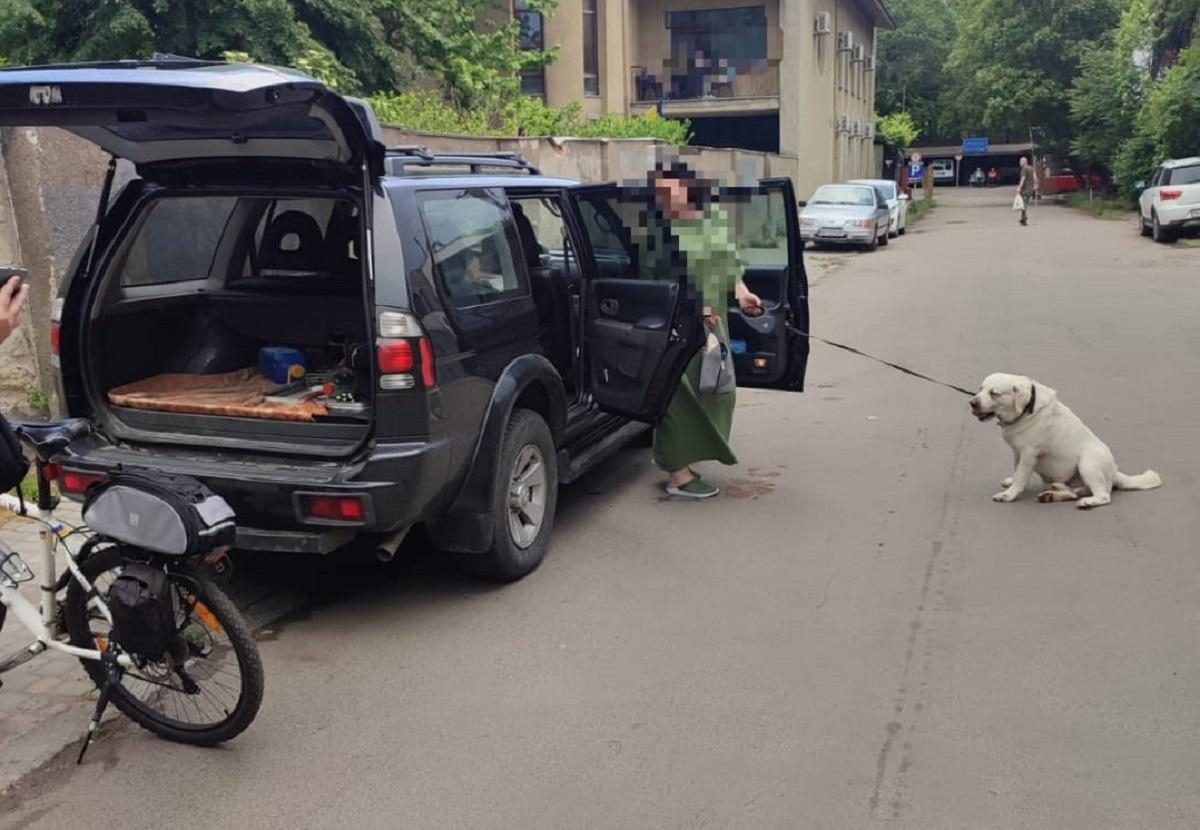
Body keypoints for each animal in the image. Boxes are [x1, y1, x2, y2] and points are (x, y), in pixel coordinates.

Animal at [964, 374, 1161, 506]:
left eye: (994, 393)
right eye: (980, 389)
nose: (972, 403)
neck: (1028, 409)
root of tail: (1115, 472)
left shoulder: (1029, 453)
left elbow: (1021, 475)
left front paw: (1009, 494)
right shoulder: (1017, 452)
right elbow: (1016, 470)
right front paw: (1010, 482)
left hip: (1089, 462)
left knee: (1104, 495)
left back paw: (1087, 502)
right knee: (1075, 492)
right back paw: (1054, 493)